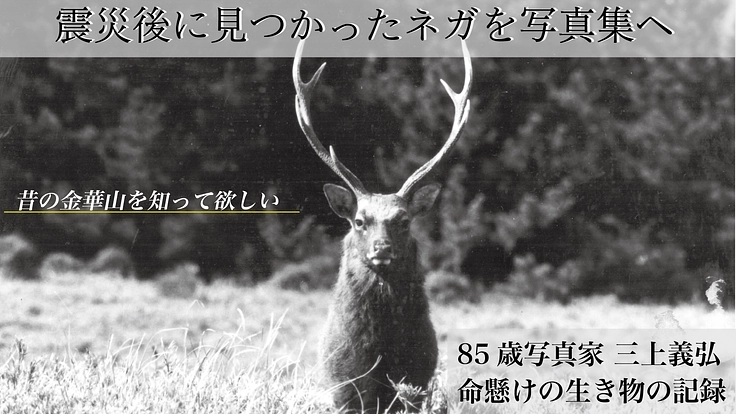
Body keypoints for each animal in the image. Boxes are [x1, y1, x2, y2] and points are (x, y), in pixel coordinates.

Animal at [293, 39, 472, 413]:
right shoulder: (343, 385)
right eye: (360, 221)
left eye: (403, 221)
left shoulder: (418, 378)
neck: (381, 353)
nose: (382, 248)